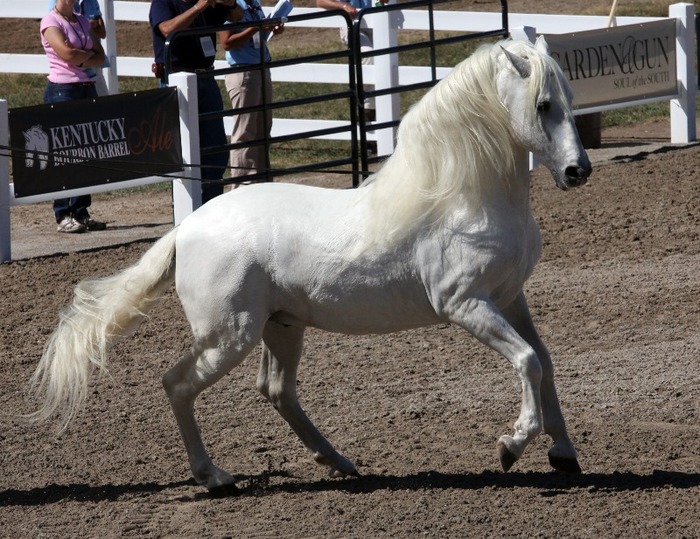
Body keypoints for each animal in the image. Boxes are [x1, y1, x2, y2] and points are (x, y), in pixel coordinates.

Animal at [31, 38, 592, 494]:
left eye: (569, 98)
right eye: (543, 105)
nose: (577, 171)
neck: (463, 198)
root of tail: (186, 229)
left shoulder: (508, 299)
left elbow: (546, 363)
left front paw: (563, 454)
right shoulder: (466, 305)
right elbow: (528, 361)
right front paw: (512, 446)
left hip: (282, 327)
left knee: (277, 390)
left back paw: (339, 462)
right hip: (229, 335)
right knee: (177, 384)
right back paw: (215, 477)